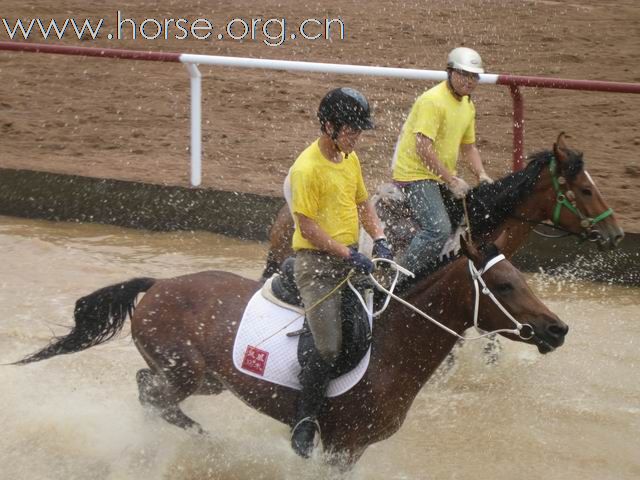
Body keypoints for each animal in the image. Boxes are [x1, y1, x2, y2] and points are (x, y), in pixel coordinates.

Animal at [15, 234, 568, 466]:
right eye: (504, 285)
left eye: (522, 277)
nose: (558, 330)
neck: (391, 351)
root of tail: (158, 286)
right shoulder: (340, 445)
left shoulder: (353, 451)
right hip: (185, 374)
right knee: (153, 395)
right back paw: (210, 443)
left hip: (209, 381)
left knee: (148, 394)